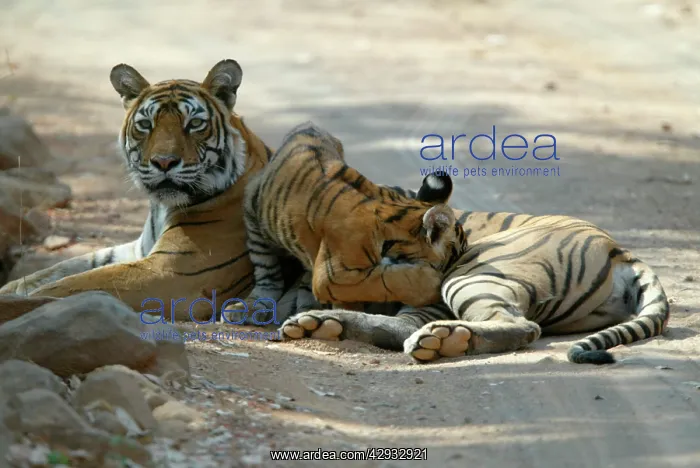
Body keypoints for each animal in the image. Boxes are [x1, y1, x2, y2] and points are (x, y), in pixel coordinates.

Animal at [0, 59, 302, 323]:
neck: (161, 208)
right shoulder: (137, 251)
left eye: (194, 124)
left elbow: (76, 284)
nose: (164, 162)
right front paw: (12, 289)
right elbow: (64, 268)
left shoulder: (174, 272)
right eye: (146, 125)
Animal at [221, 121, 469, 326]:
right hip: (254, 212)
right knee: (267, 273)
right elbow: (383, 281)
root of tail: (308, 125)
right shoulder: (333, 274)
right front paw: (430, 283)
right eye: (458, 251)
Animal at [279, 186, 670, 365]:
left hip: (470, 274)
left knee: (521, 325)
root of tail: (620, 250)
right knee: (401, 325)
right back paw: (319, 325)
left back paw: (444, 339)